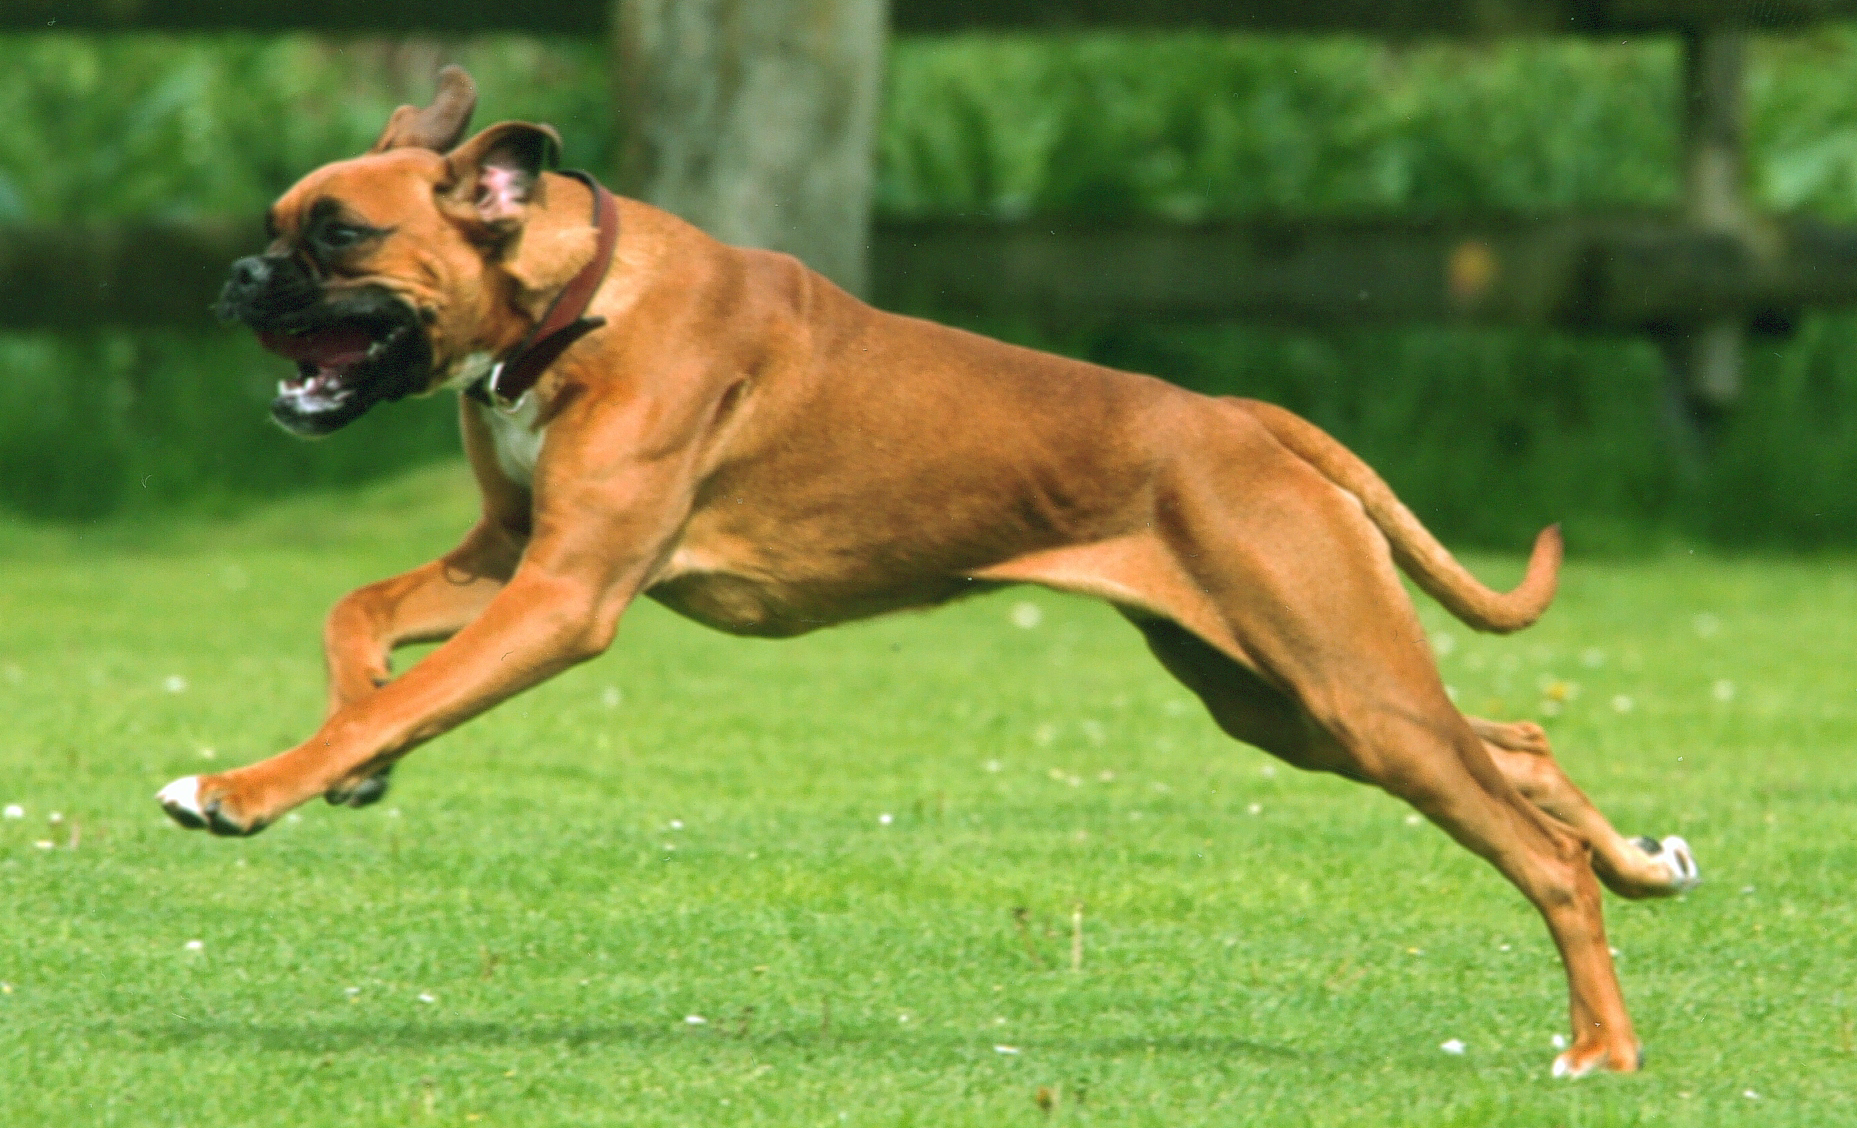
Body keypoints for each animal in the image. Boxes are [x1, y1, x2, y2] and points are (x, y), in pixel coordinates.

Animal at [159, 68, 1701, 1077]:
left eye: (338, 238)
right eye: (278, 224)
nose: (236, 279)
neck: (573, 301)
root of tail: (1238, 417)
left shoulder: (561, 598)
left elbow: (393, 693)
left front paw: (248, 787)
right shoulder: (503, 561)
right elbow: (357, 621)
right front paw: (354, 755)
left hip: (1342, 690)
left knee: (1535, 856)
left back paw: (1603, 1046)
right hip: (1286, 699)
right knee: (1516, 739)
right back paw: (1644, 862)